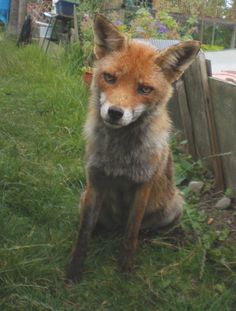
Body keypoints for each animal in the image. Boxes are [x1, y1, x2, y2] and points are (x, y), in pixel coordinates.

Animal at [67, 13, 201, 282]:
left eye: (144, 89)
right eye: (110, 78)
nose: (115, 113)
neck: (119, 155)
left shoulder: (143, 184)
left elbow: (132, 233)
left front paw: (125, 271)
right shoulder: (95, 180)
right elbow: (84, 231)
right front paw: (74, 270)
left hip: (175, 206)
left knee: (140, 230)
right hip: (83, 197)